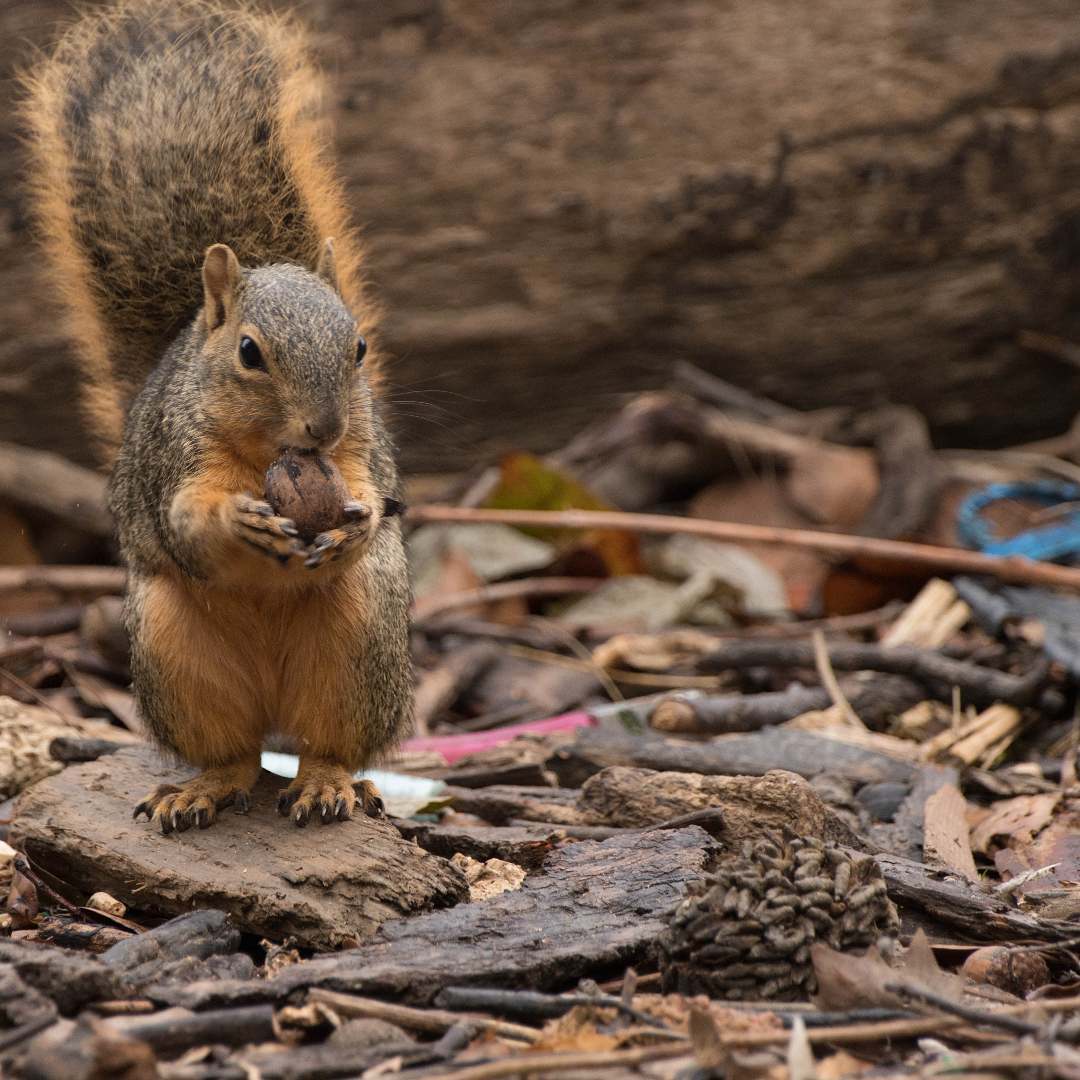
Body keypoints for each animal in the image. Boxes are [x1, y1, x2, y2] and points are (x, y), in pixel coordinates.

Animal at [21, 0, 413, 832]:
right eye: (250, 352)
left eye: (360, 345)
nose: (324, 428)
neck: (271, 454)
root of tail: (273, 704)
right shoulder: (178, 456)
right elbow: (185, 520)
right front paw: (237, 519)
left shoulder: (363, 452)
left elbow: (371, 491)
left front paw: (360, 520)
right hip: (175, 654)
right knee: (231, 752)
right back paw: (200, 789)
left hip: (361, 643)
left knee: (328, 741)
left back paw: (326, 783)